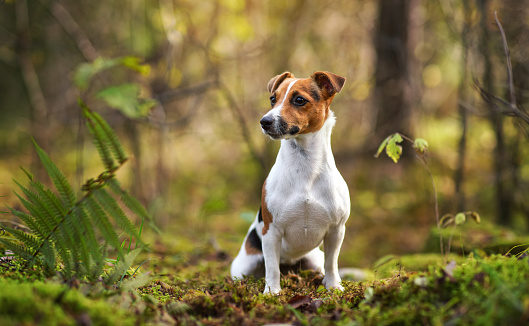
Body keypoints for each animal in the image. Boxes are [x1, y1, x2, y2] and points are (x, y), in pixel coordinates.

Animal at [231, 72, 350, 296]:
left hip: (314, 259)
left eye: (299, 100)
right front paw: (272, 292)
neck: (305, 166)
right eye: (272, 99)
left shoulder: (336, 231)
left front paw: (333, 286)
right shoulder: (271, 232)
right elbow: (271, 267)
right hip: (245, 264)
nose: (265, 121)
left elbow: (332, 263)